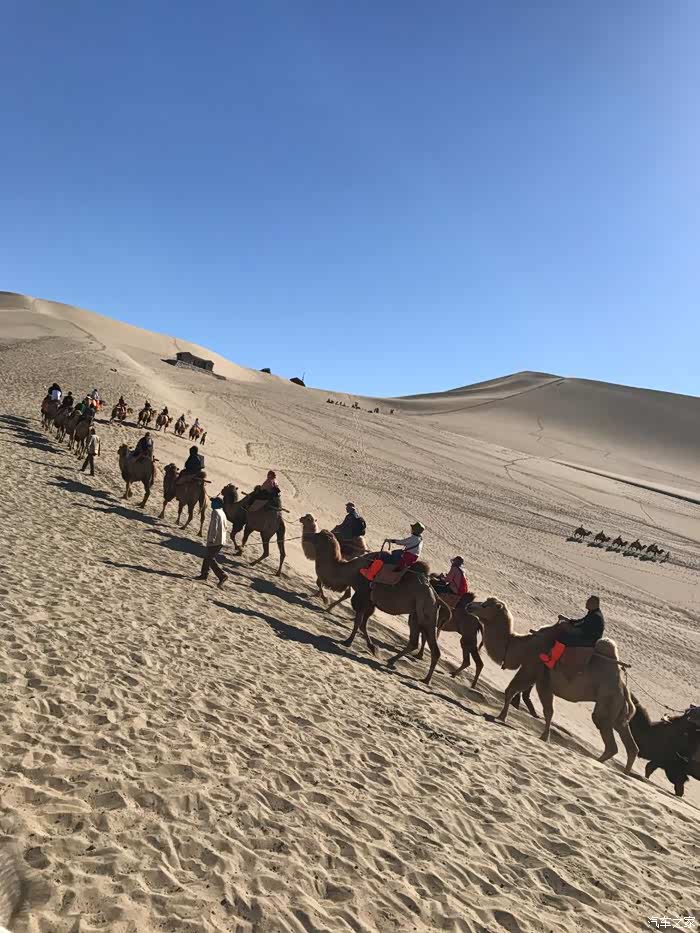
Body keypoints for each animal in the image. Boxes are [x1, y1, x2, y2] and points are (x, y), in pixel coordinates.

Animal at [468, 598, 638, 772]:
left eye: (485, 605)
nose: (469, 605)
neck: (521, 645)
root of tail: (624, 687)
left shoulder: (534, 672)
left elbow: (529, 700)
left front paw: (539, 734)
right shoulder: (536, 676)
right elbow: (519, 695)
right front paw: (505, 717)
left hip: (608, 699)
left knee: (607, 735)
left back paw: (598, 761)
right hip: (618, 708)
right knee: (630, 743)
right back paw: (624, 771)